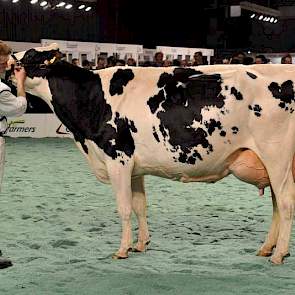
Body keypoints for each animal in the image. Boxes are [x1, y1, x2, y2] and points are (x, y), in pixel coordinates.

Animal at [8, 44, 295, 266]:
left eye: (30, 55)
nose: (9, 64)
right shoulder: (135, 168)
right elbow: (140, 206)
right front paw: (140, 244)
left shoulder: (117, 158)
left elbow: (124, 208)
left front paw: (122, 250)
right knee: (276, 204)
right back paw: (267, 248)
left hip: (276, 157)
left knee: (285, 202)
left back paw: (278, 255)